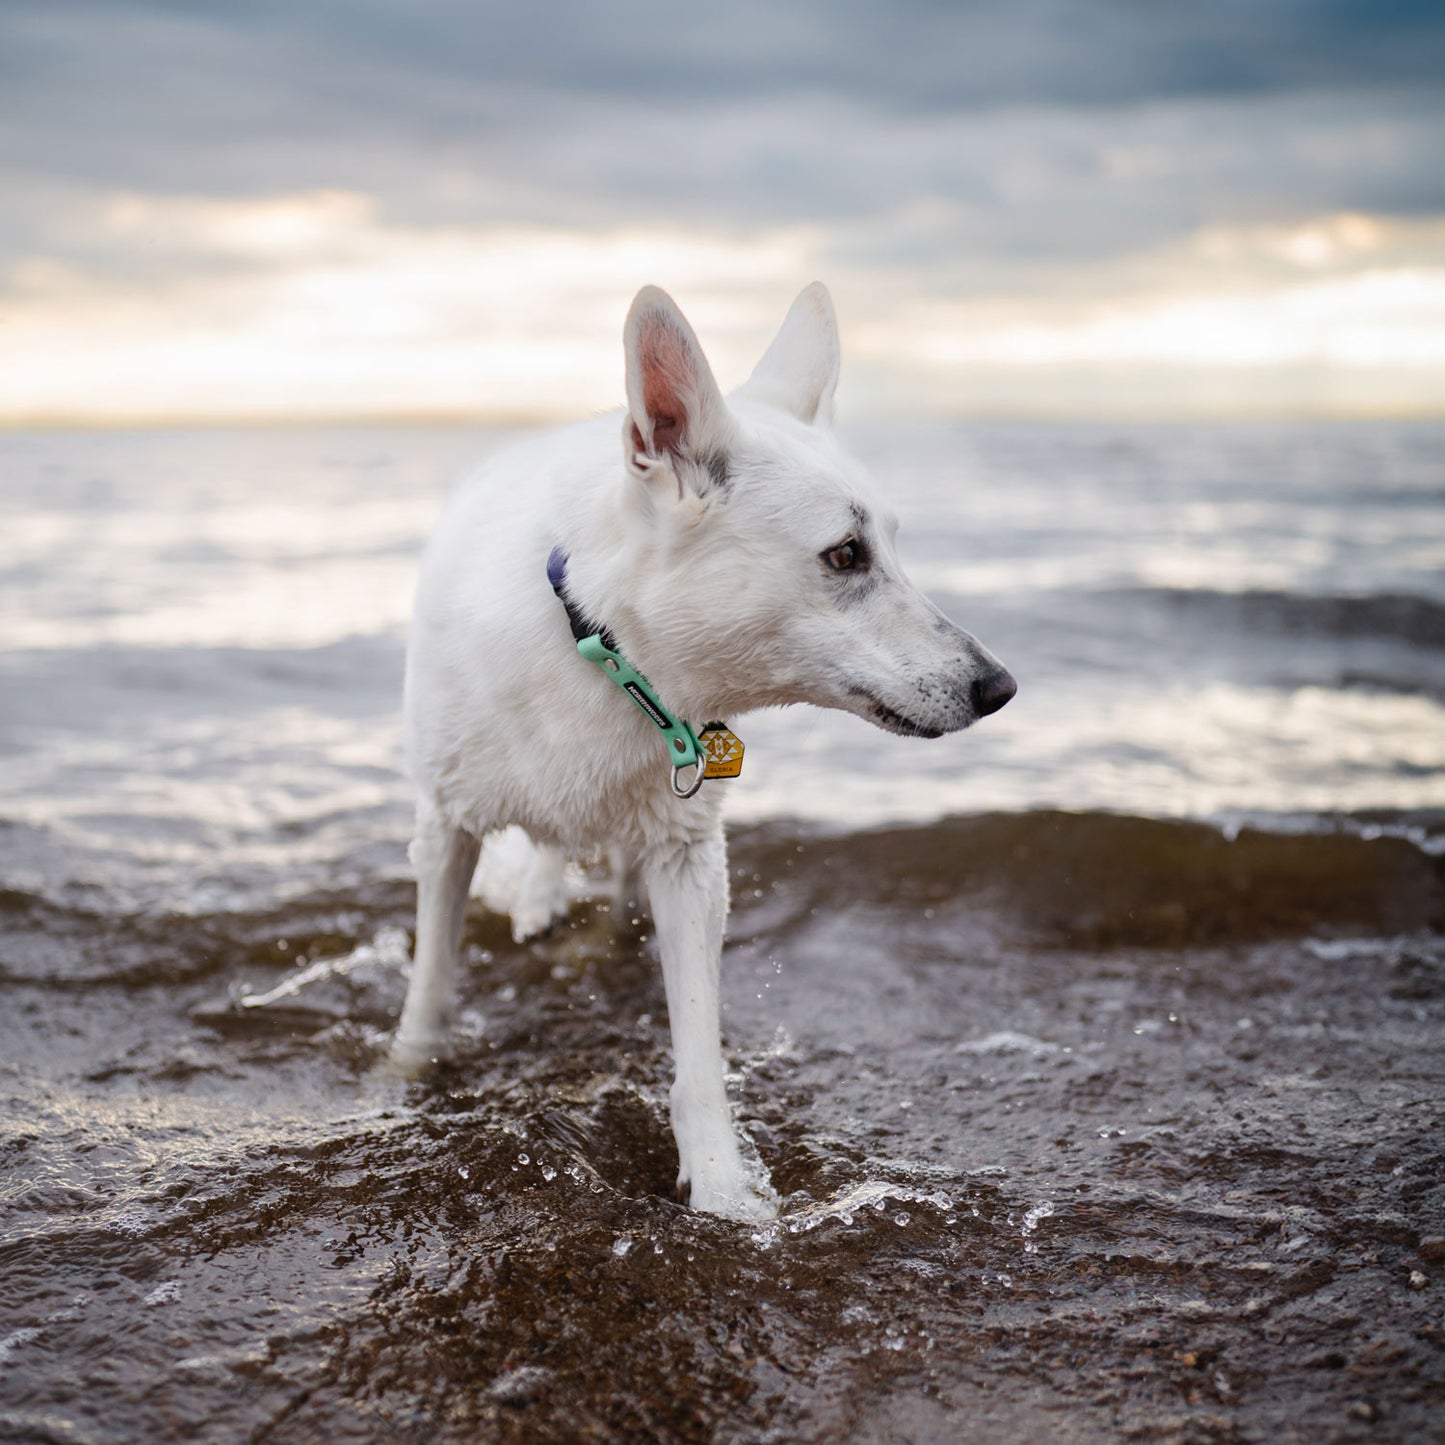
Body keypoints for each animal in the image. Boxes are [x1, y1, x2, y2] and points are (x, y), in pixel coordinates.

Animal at [390, 281, 1011, 1219]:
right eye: (845, 554)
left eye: (893, 546)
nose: (997, 685)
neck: (601, 645)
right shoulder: (443, 828)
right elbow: (429, 991)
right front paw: (405, 1076)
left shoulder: (687, 858)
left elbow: (698, 1051)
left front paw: (721, 1188)